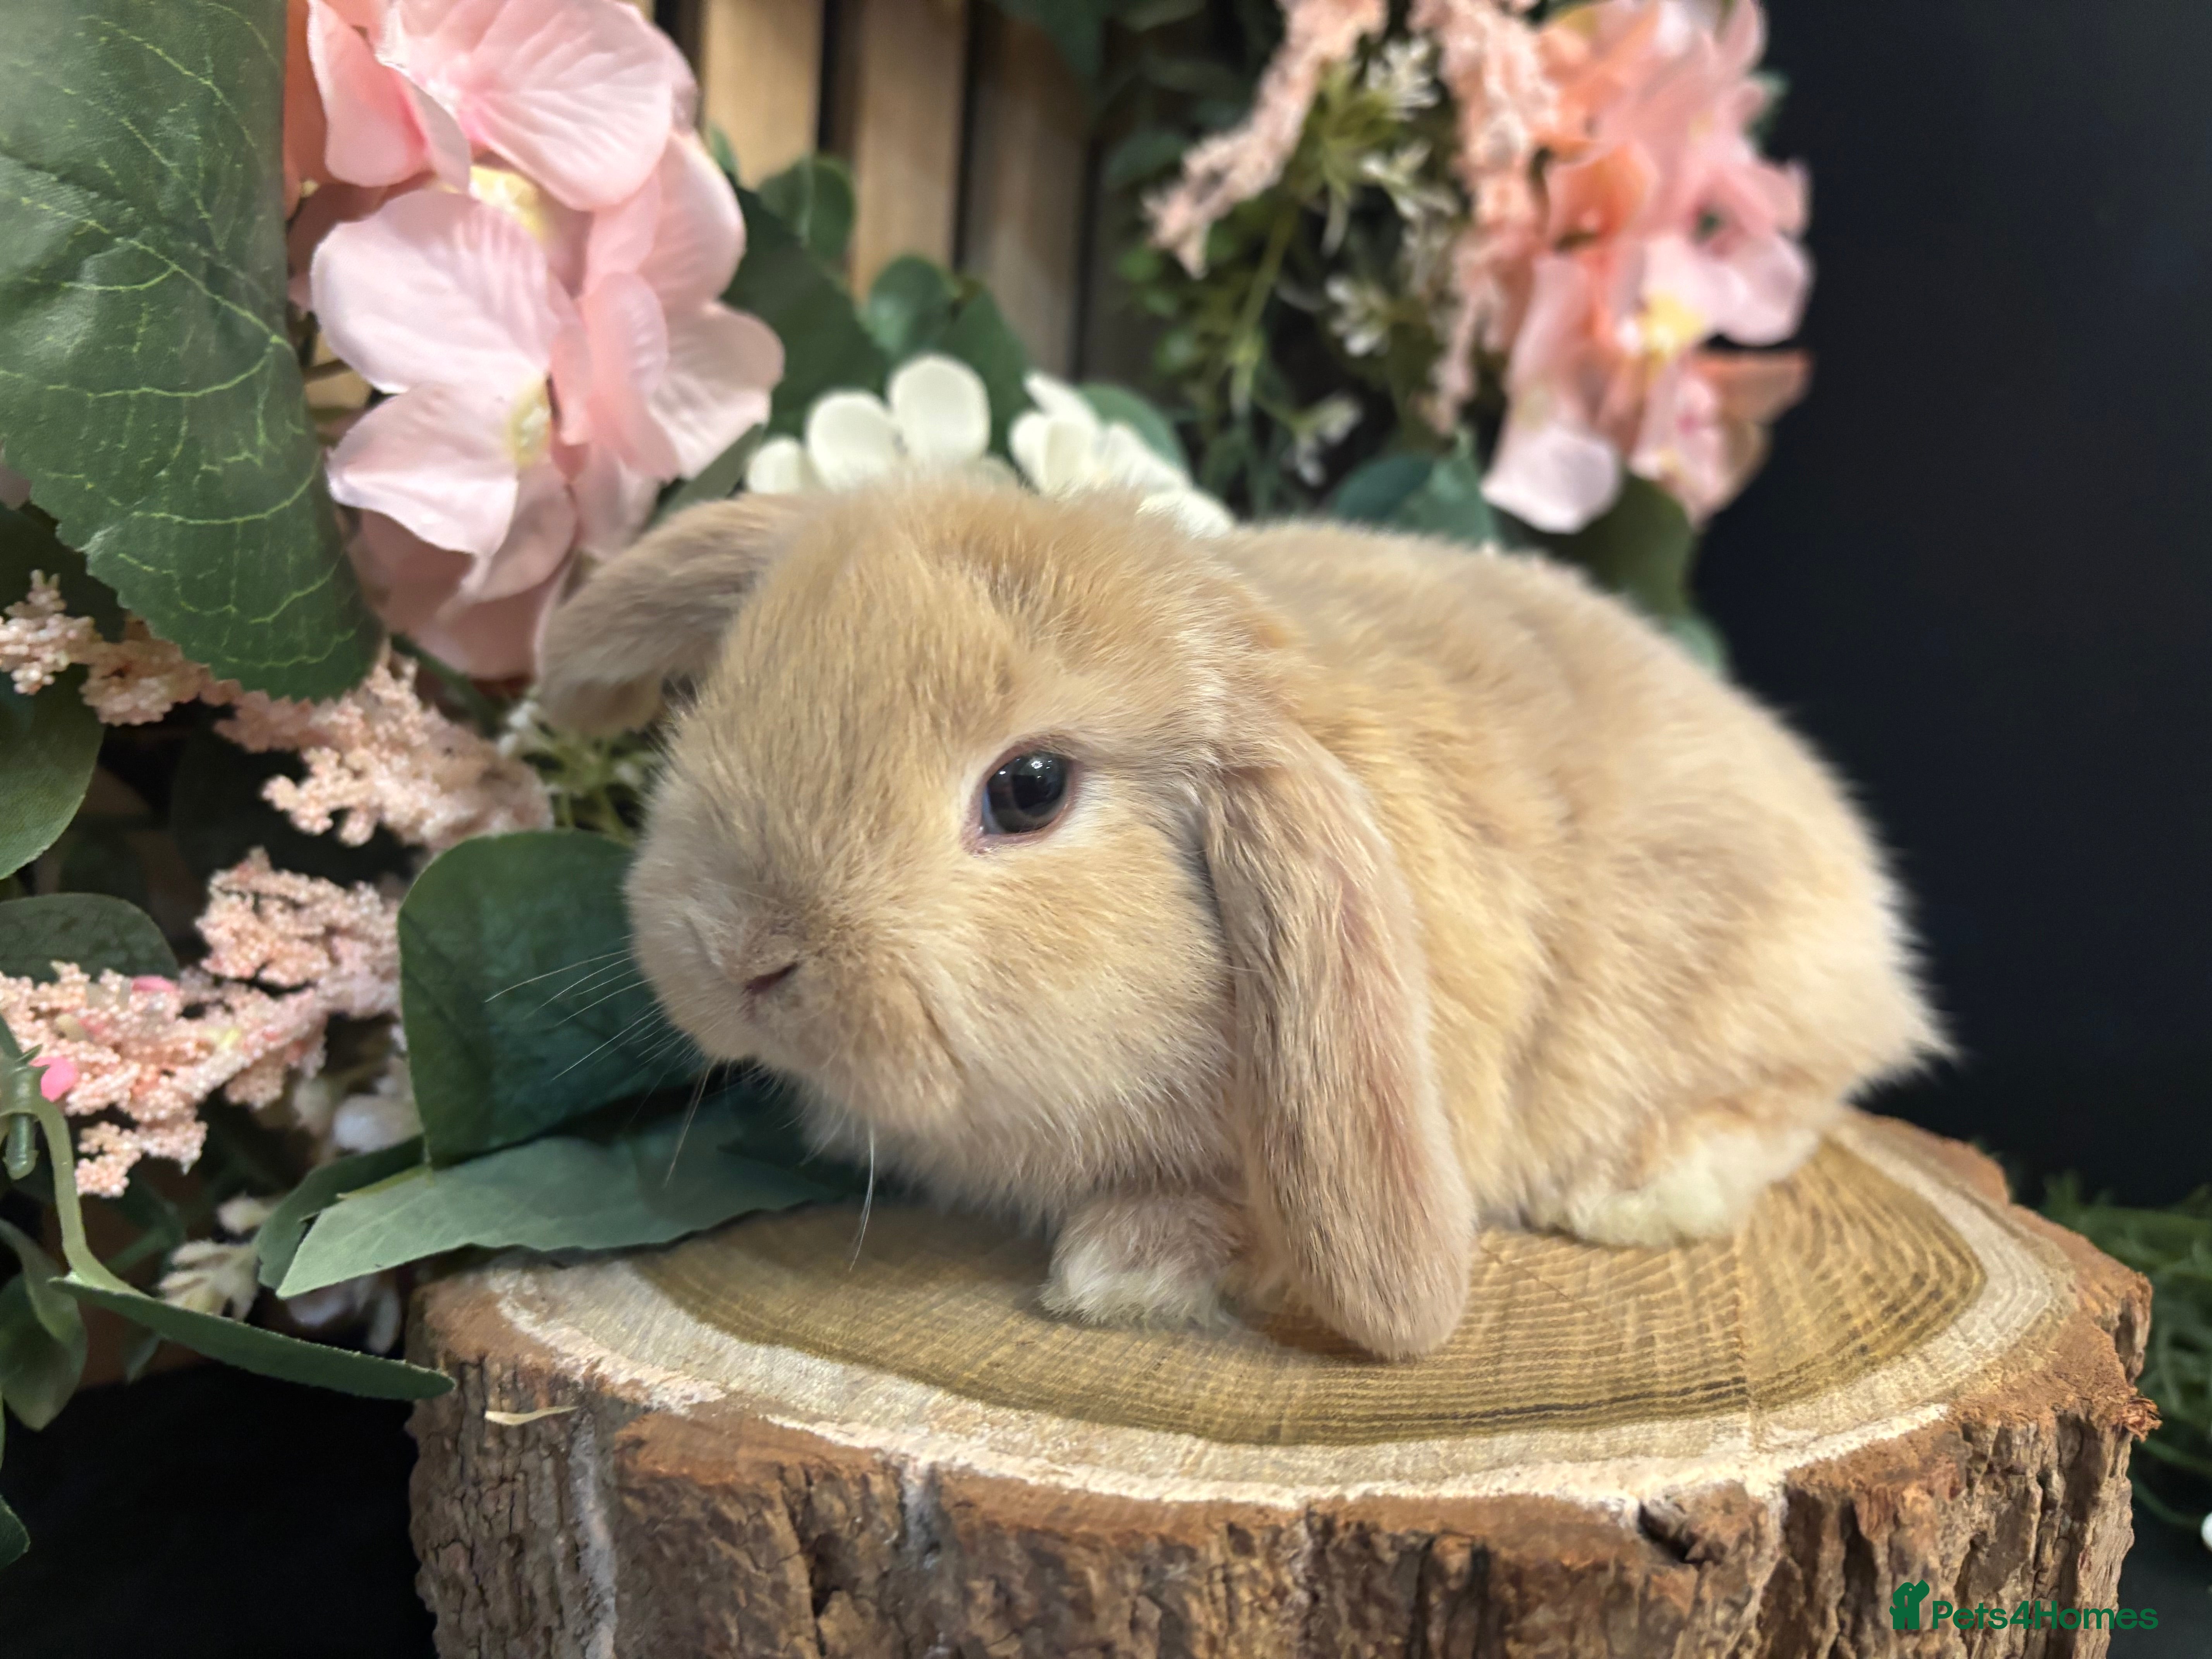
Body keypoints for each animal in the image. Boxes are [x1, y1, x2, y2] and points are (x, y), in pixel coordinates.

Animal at [535, 477, 1942, 1361]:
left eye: (1029, 788)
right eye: (726, 687)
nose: (743, 955)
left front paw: (1115, 1273)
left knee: (1792, 1098)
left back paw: (1639, 1187)